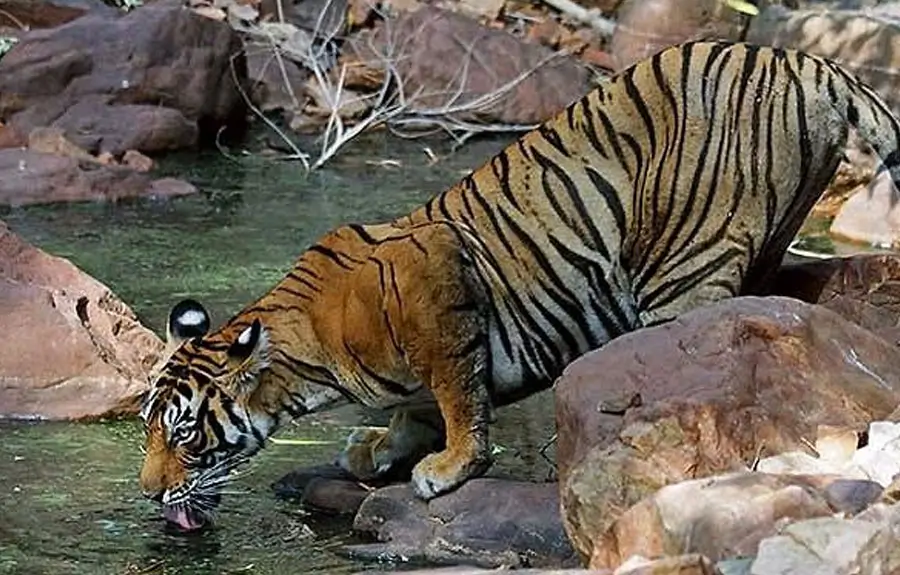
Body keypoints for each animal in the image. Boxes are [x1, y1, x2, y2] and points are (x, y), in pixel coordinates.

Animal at [138, 40, 900, 531]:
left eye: (183, 434)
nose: (148, 493)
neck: (307, 366)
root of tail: (805, 61)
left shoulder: (440, 286)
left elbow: (458, 396)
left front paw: (447, 468)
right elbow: (419, 406)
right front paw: (381, 448)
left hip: (684, 265)